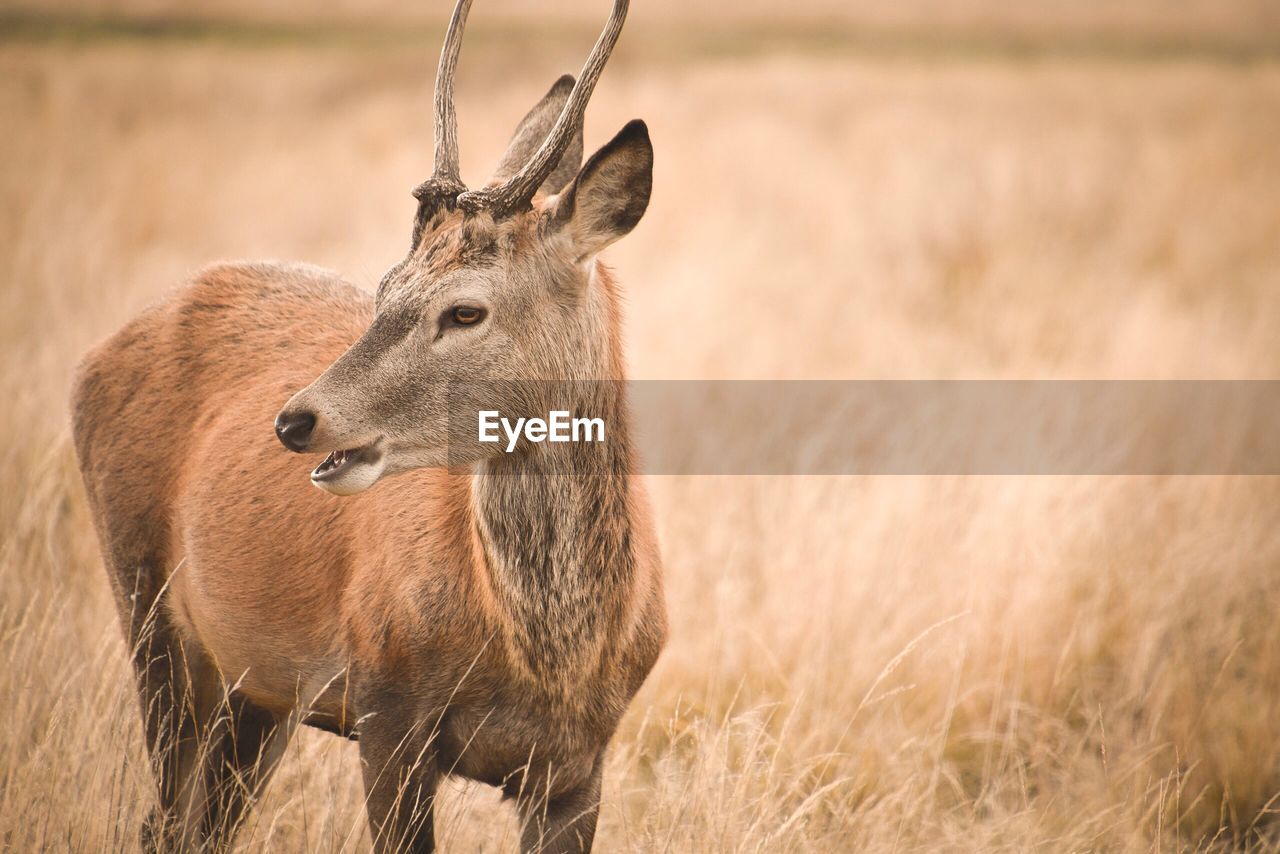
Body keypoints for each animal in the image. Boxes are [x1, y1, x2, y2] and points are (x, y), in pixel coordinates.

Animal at [70, 0, 670, 850]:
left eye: (465, 310)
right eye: (386, 284)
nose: (297, 418)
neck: (549, 659)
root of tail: (98, 353)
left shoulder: (581, 761)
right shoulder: (386, 705)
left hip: (253, 689)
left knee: (191, 822)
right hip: (147, 604)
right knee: (164, 813)